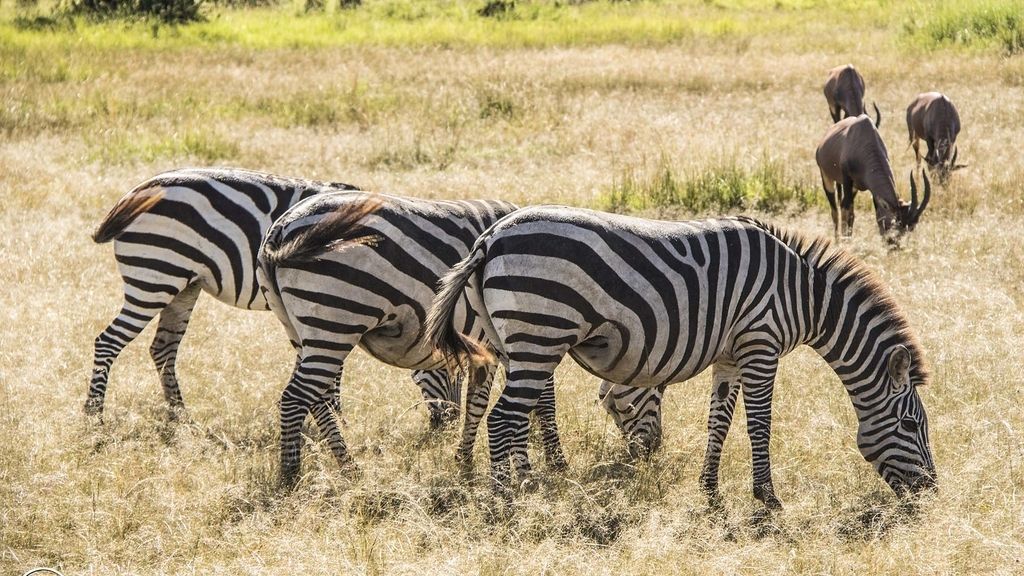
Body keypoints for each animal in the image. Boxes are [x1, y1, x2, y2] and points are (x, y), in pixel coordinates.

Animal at [89, 165, 460, 426]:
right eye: (445, 365)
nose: (449, 422)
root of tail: (138, 190)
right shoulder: (334, 307)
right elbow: (331, 373)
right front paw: (335, 419)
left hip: (183, 284)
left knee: (163, 348)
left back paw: (181, 416)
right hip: (154, 274)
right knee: (109, 341)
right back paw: (94, 416)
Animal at [256, 191, 573, 483]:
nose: (445, 420)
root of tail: (282, 224)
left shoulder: (493, 349)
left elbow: (478, 404)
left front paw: (466, 460)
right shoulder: (529, 338)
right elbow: (542, 402)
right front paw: (552, 464)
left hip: (301, 331)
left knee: (317, 400)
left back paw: (349, 468)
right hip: (334, 318)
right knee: (295, 398)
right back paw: (290, 474)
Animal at [428, 207, 937, 506]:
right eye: (912, 424)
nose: (932, 492)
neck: (803, 296)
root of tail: (490, 237)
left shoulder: (730, 355)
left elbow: (719, 422)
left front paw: (710, 493)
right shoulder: (761, 343)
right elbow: (759, 424)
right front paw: (767, 500)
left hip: (513, 341)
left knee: (513, 412)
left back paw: (526, 486)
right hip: (539, 333)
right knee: (504, 418)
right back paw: (504, 501)